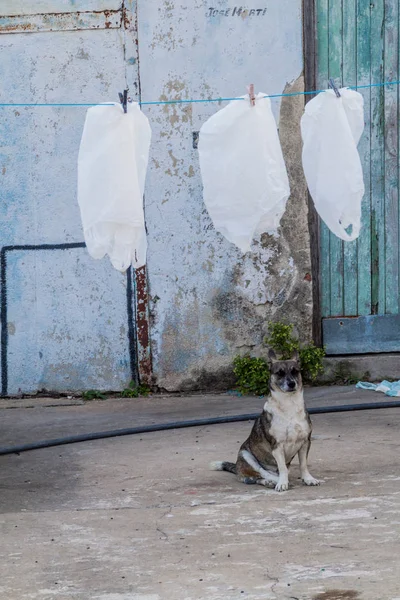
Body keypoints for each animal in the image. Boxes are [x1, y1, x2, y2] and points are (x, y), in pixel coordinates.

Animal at [211, 346, 320, 492]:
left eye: (295, 371)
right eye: (279, 373)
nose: (291, 383)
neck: (289, 404)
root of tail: (237, 467)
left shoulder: (305, 442)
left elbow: (303, 465)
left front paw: (308, 479)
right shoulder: (277, 446)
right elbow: (282, 468)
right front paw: (282, 483)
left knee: (260, 477)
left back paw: (270, 482)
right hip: (246, 455)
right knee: (262, 473)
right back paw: (274, 481)